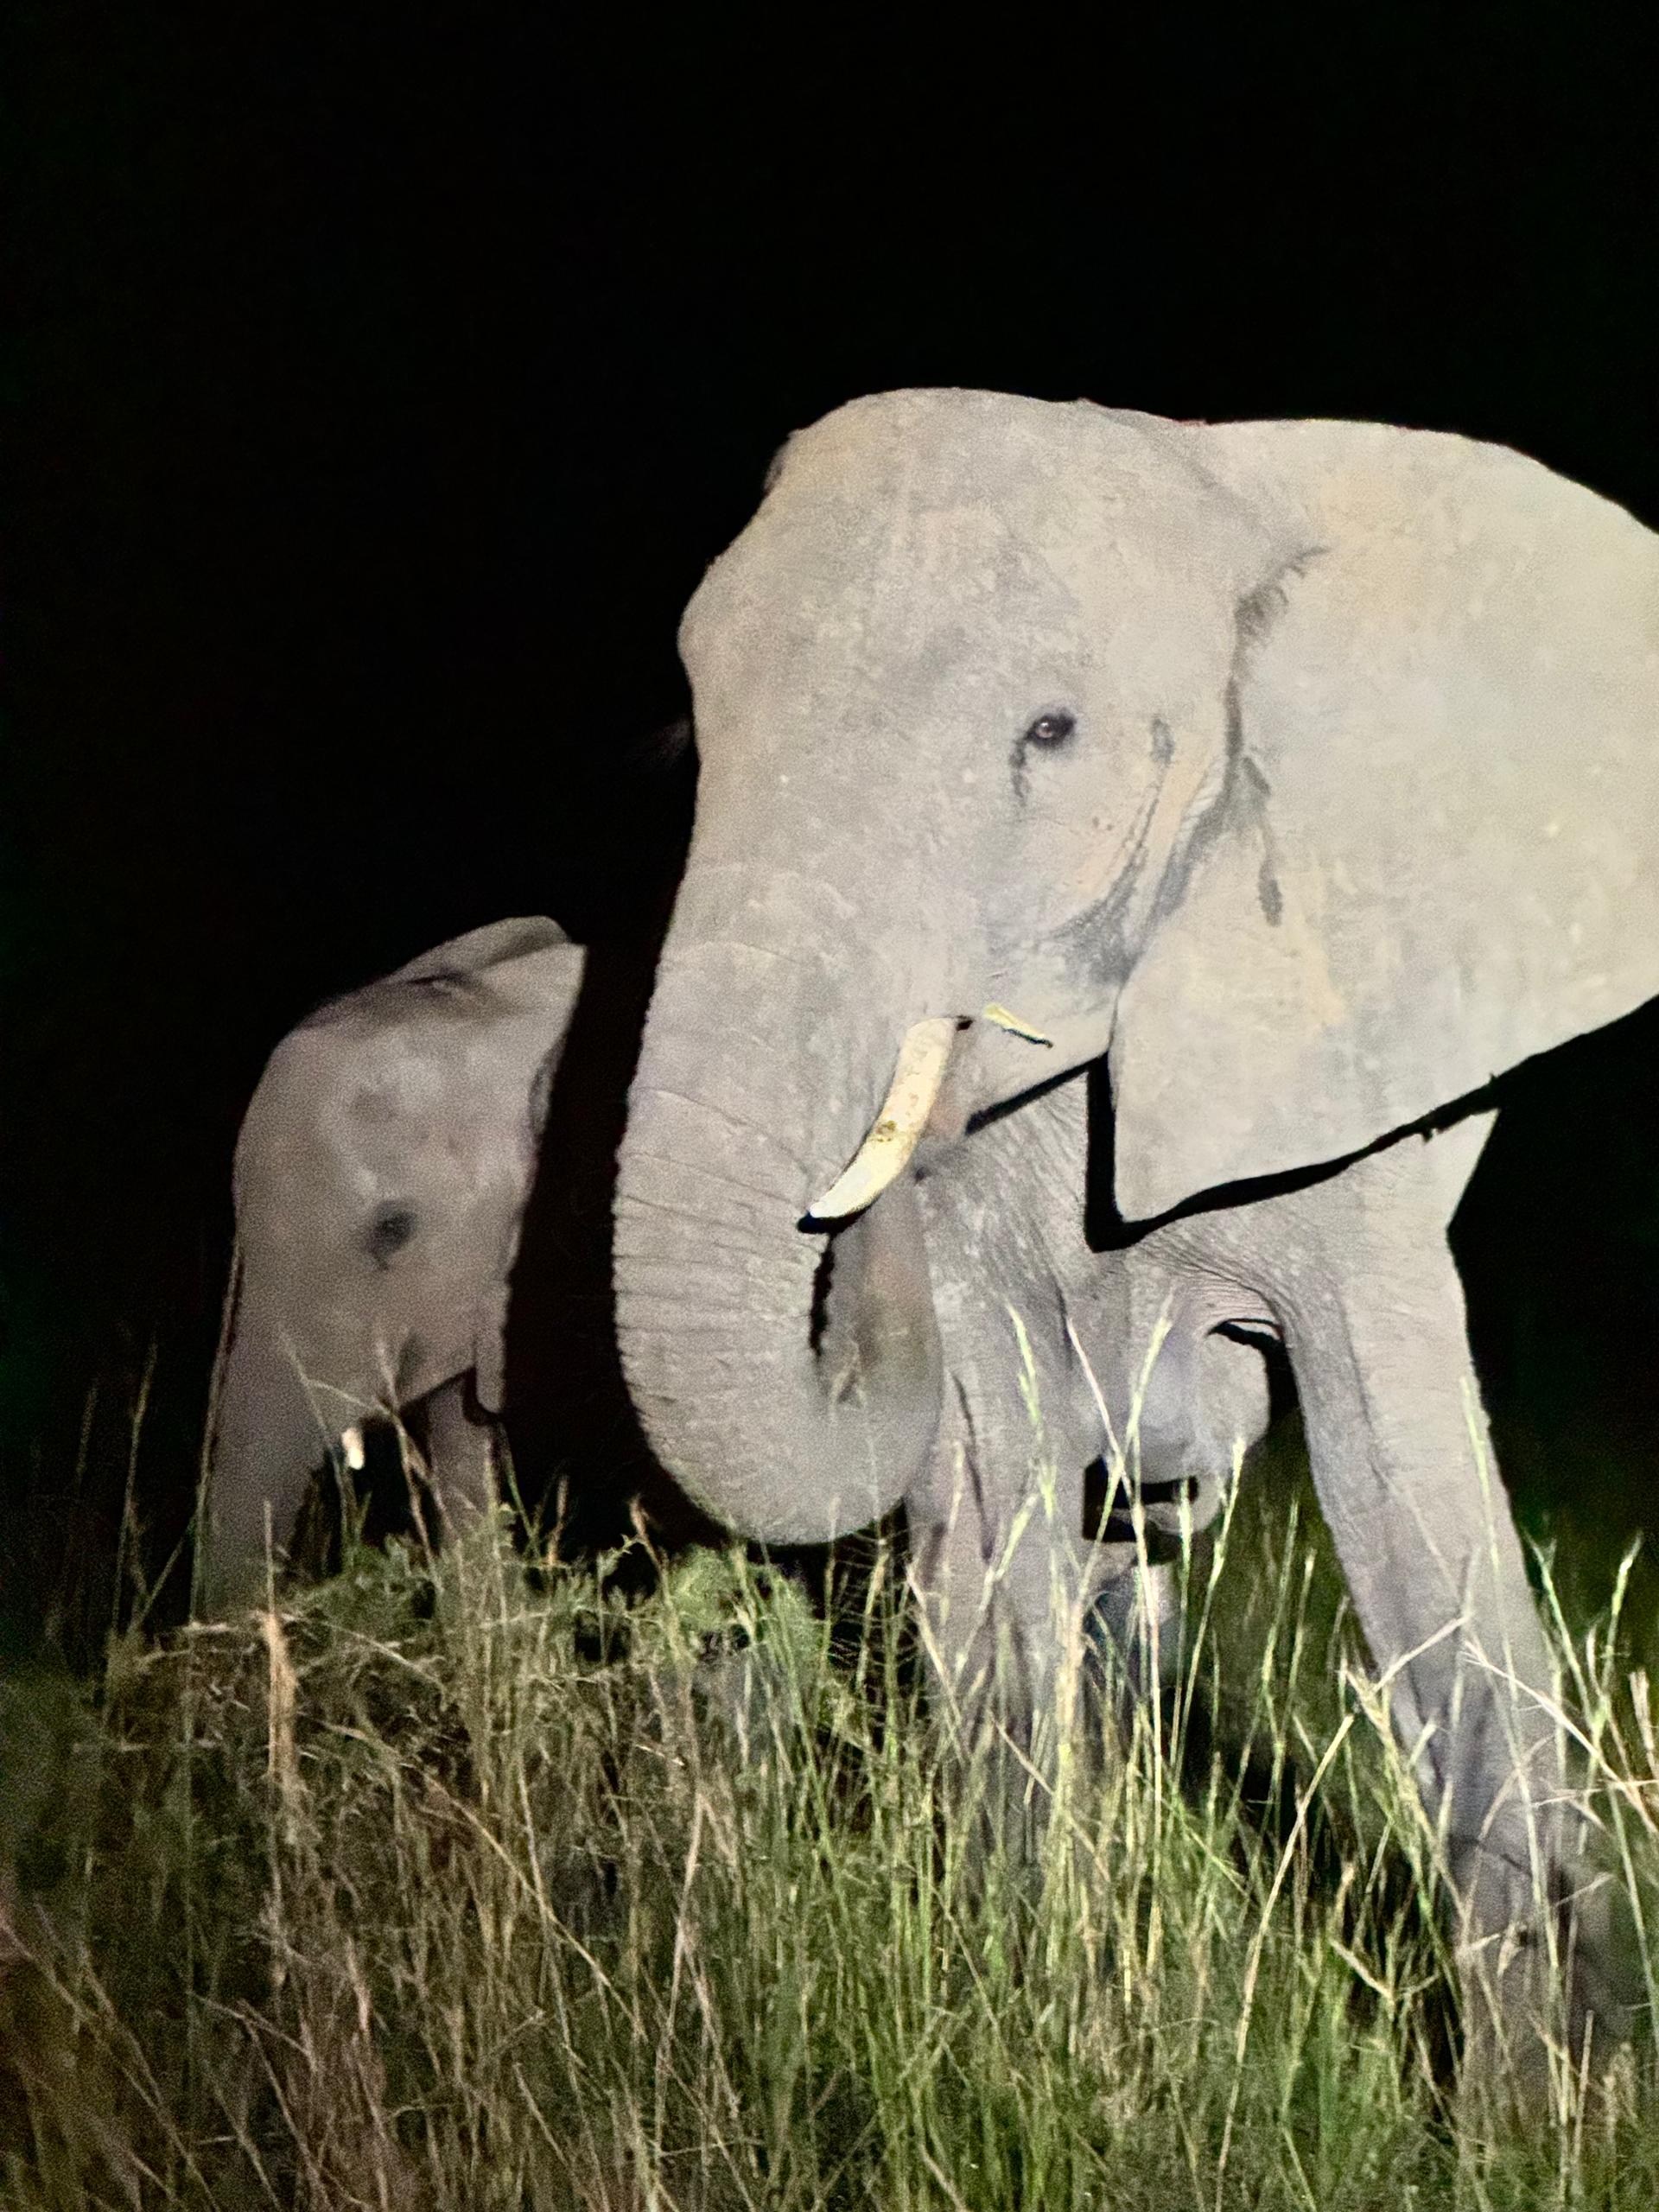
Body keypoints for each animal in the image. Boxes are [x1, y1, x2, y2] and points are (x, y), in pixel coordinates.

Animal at [612, 389, 1659, 2080]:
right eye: (702, 726)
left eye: (1051, 734)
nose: (878, 1165)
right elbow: (999, 1498)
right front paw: (1032, 2013)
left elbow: (1410, 1511)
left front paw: (1551, 2103)